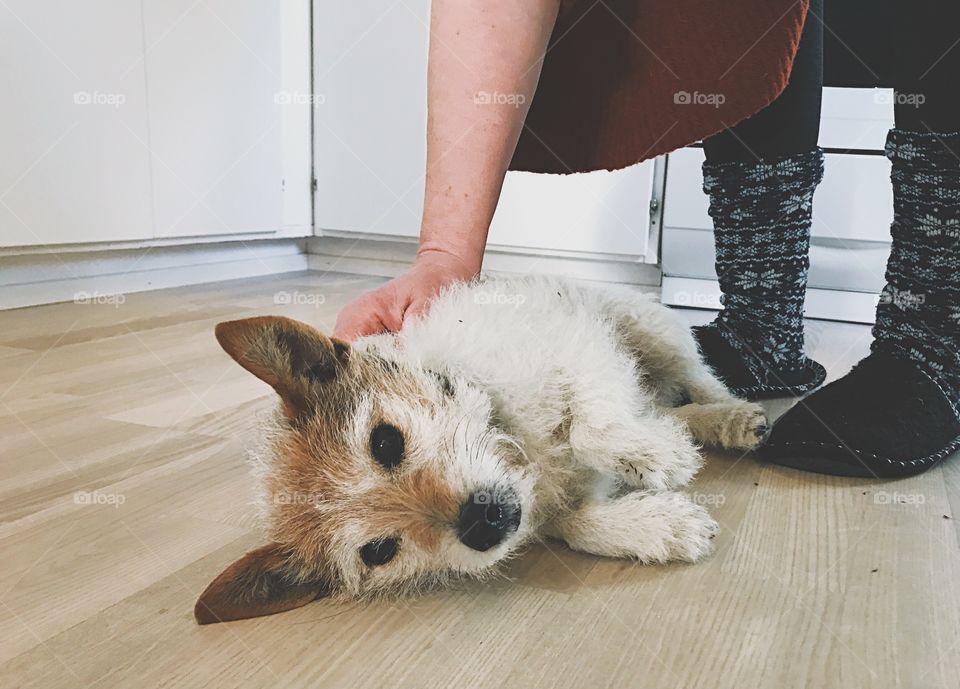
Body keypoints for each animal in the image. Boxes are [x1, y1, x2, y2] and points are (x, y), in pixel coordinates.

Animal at [193, 274, 764, 624]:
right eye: (378, 552)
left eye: (385, 441)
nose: (481, 522)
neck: (516, 444)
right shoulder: (544, 508)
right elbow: (577, 523)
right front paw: (659, 527)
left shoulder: (577, 347)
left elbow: (593, 426)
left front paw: (652, 455)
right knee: (670, 405)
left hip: (650, 329)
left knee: (698, 377)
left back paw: (731, 417)